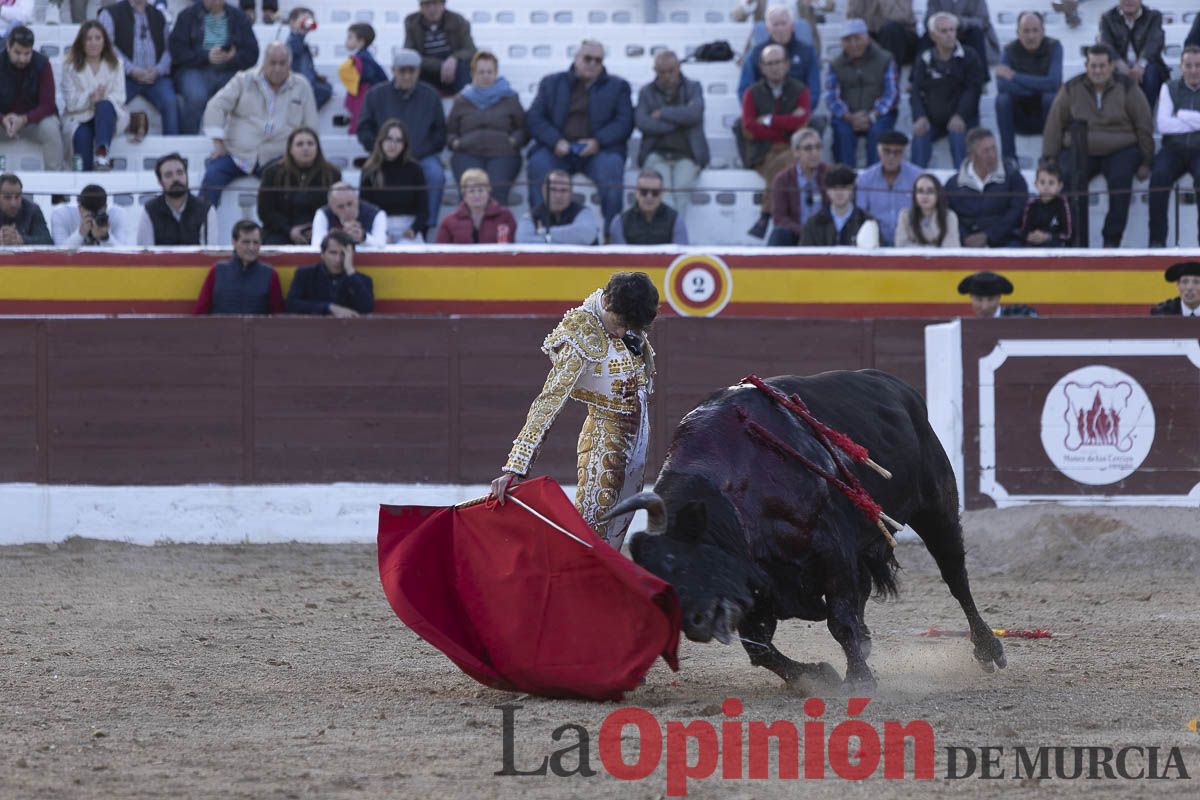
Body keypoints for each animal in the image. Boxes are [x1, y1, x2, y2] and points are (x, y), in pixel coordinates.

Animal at [604, 371, 1008, 690]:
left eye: (682, 559)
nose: (695, 625)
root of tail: (899, 388)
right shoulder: (759, 583)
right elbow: (758, 646)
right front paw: (815, 675)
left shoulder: (831, 550)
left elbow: (839, 621)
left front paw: (859, 680)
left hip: (937, 508)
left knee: (955, 577)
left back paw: (988, 648)